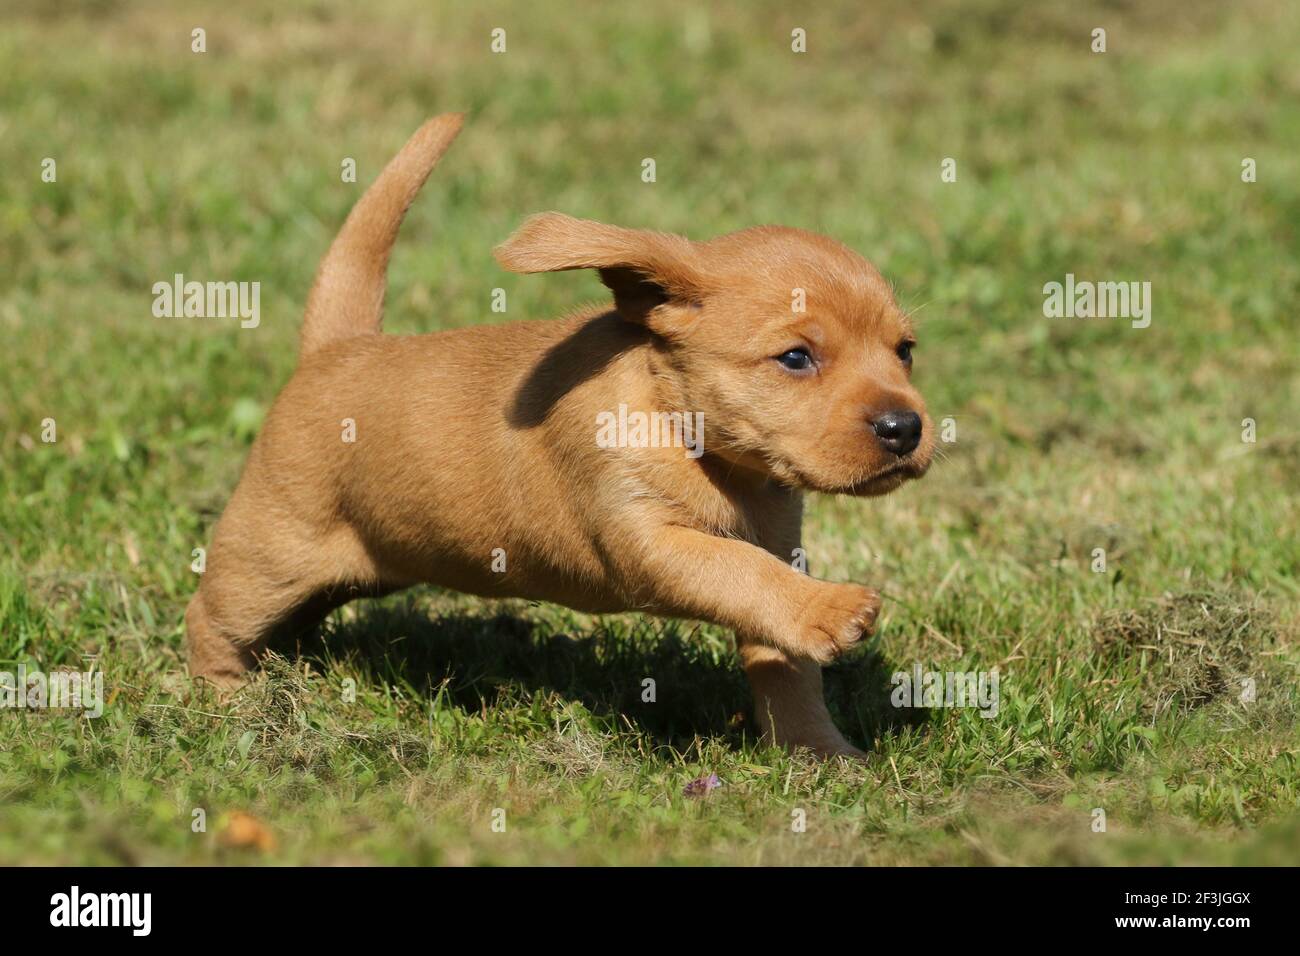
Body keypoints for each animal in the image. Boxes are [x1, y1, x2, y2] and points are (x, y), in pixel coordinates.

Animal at [185, 113, 935, 754]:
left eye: (905, 351)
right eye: (796, 358)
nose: (906, 428)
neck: (690, 435)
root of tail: (334, 347)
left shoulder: (781, 548)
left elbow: (784, 658)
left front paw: (819, 752)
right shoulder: (651, 544)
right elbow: (738, 571)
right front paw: (835, 609)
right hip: (268, 555)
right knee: (211, 619)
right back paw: (229, 706)